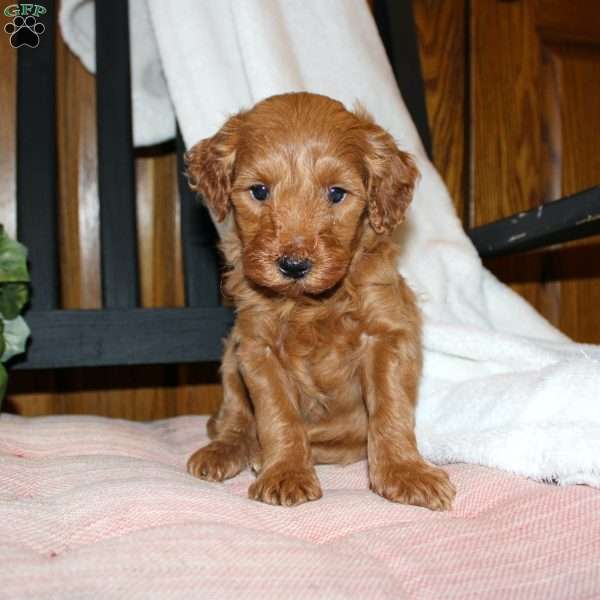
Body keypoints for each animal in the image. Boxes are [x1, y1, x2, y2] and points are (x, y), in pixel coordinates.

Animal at [185, 91, 452, 508]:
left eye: (336, 193)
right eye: (259, 191)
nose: (294, 265)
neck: (310, 305)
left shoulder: (386, 335)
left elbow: (390, 408)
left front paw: (405, 472)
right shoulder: (256, 347)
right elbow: (277, 414)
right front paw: (286, 472)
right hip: (230, 360)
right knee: (236, 416)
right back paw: (227, 449)